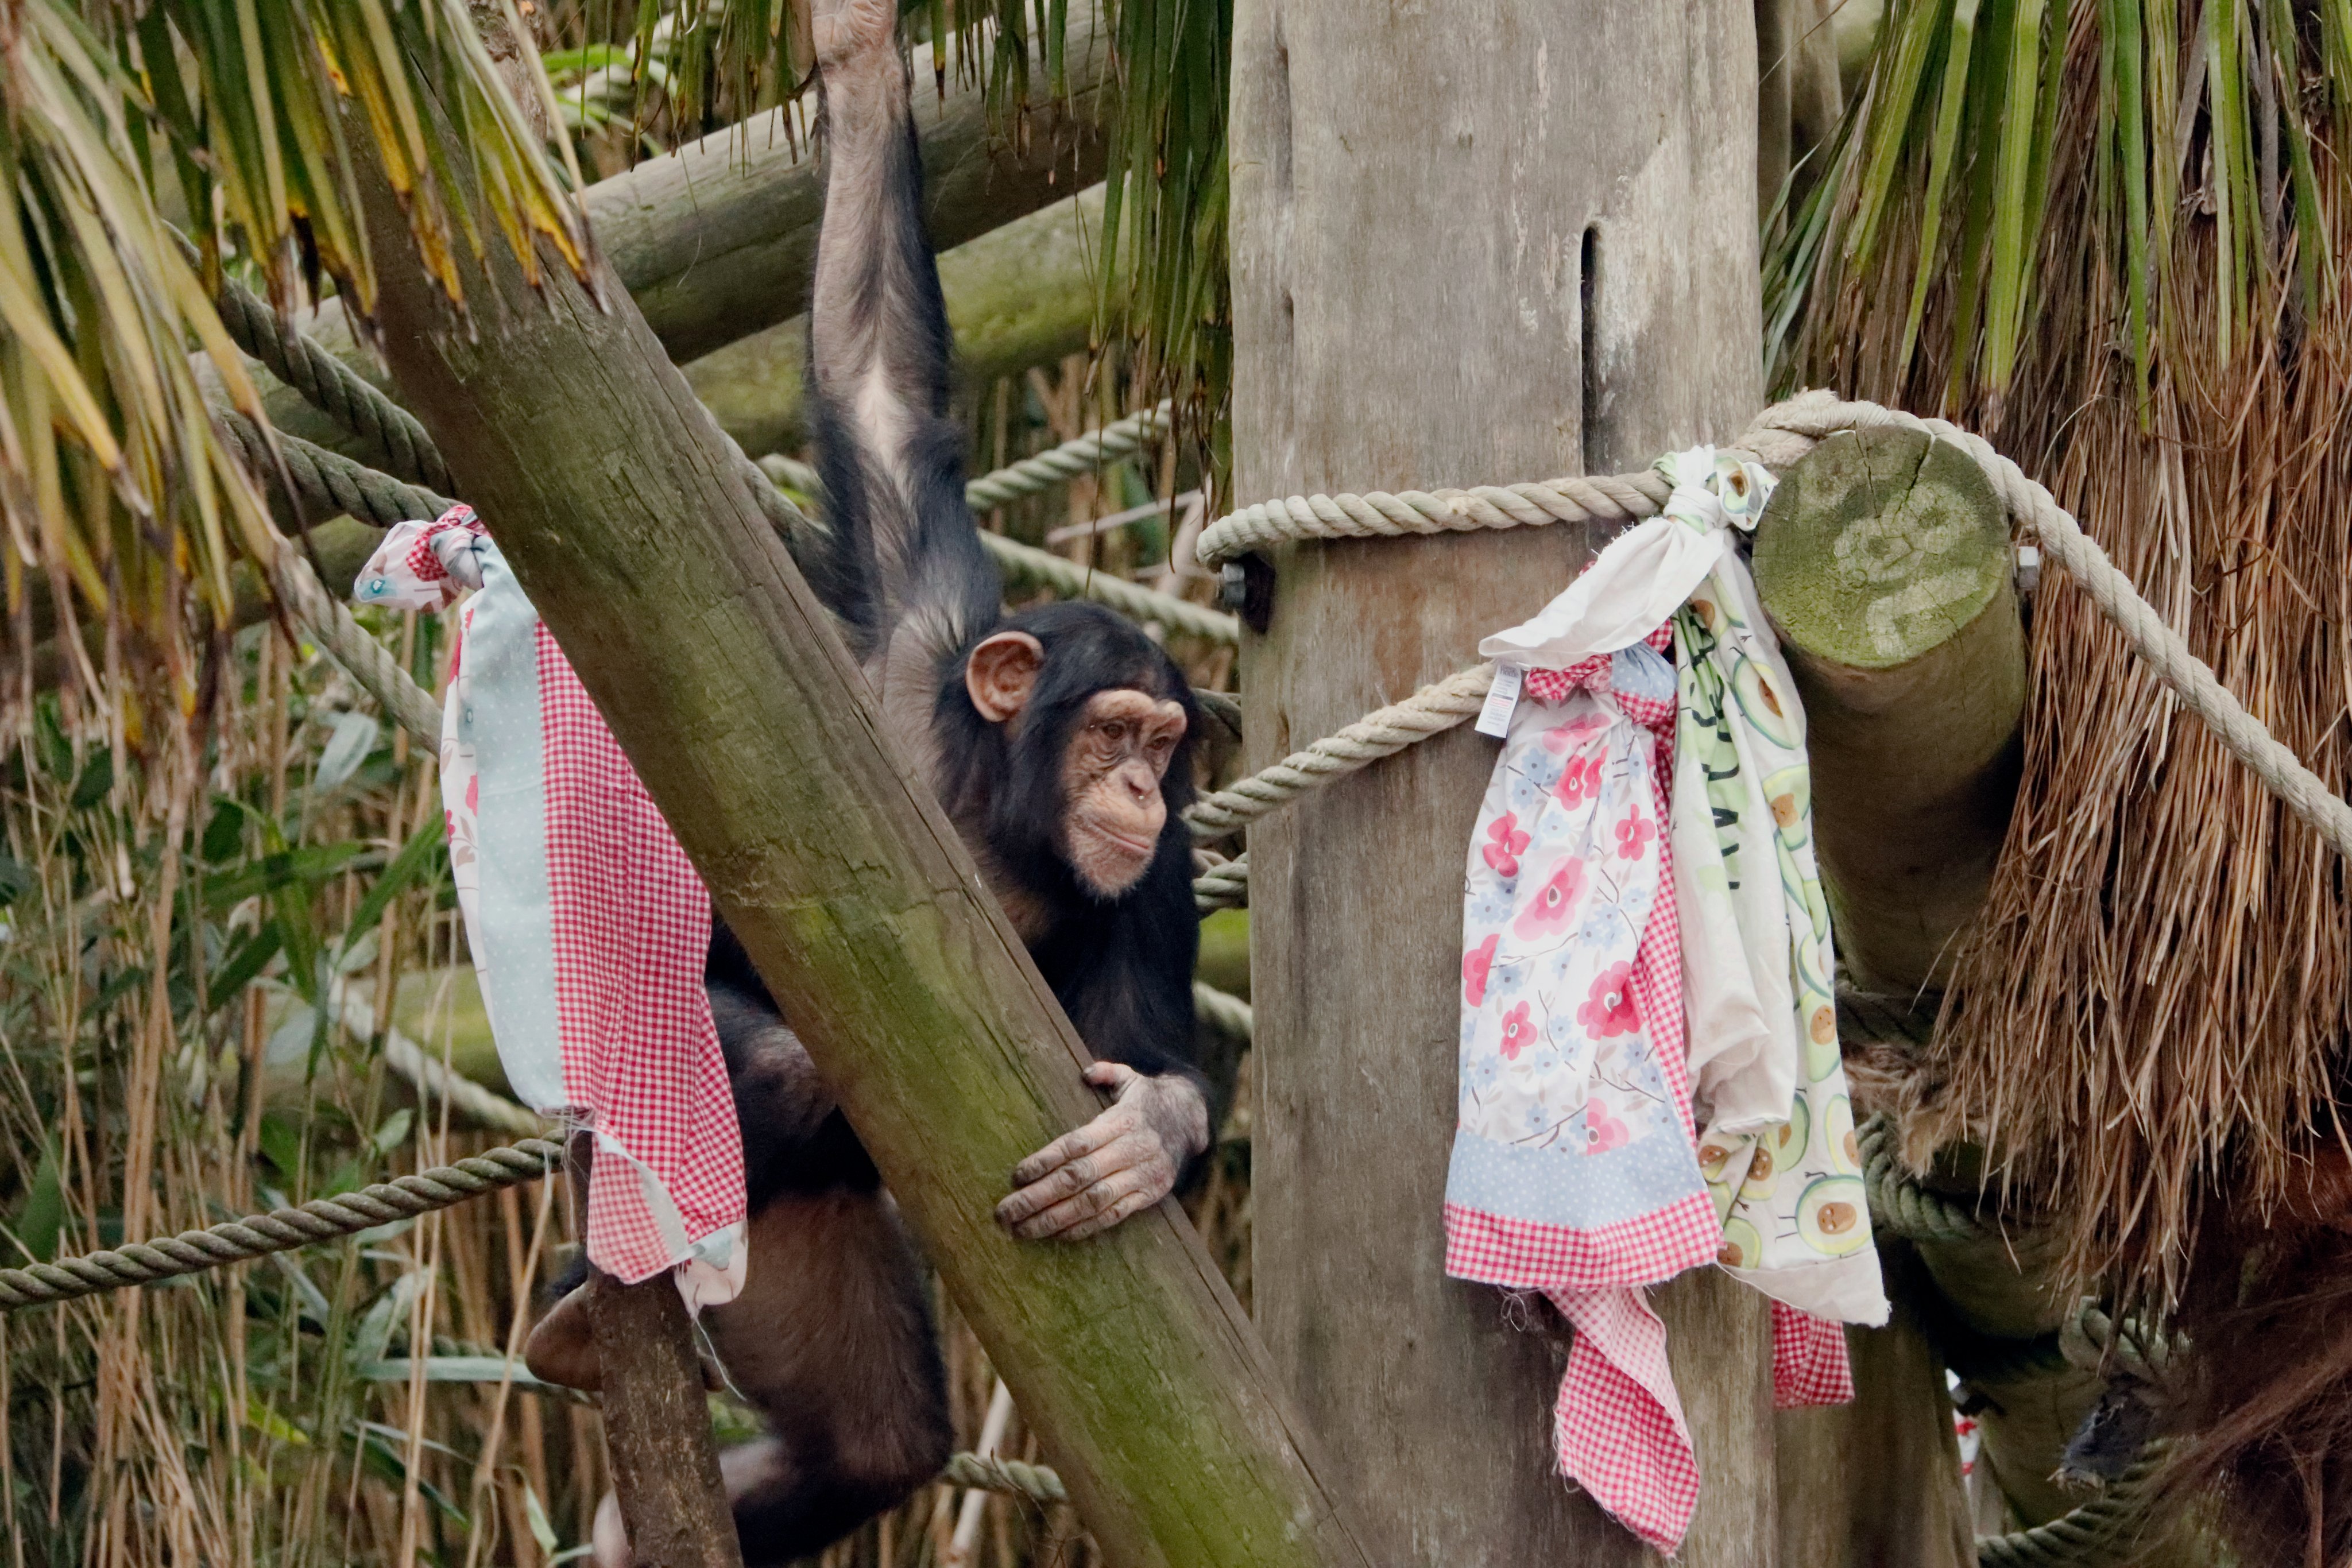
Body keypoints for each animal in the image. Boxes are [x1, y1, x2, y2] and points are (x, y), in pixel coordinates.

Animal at [529, 6, 1213, 1561]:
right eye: (1114, 732)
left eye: (1164, 746)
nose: (1140, 792)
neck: (992, 812)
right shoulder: (915, 630)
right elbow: (875, 376)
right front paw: (855, 56)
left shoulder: (1163, 880)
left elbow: (1151, 1041)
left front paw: (1152, 1134)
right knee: (771, 1074)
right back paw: (586, 1308)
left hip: (799, 1259)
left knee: (871, 1437)